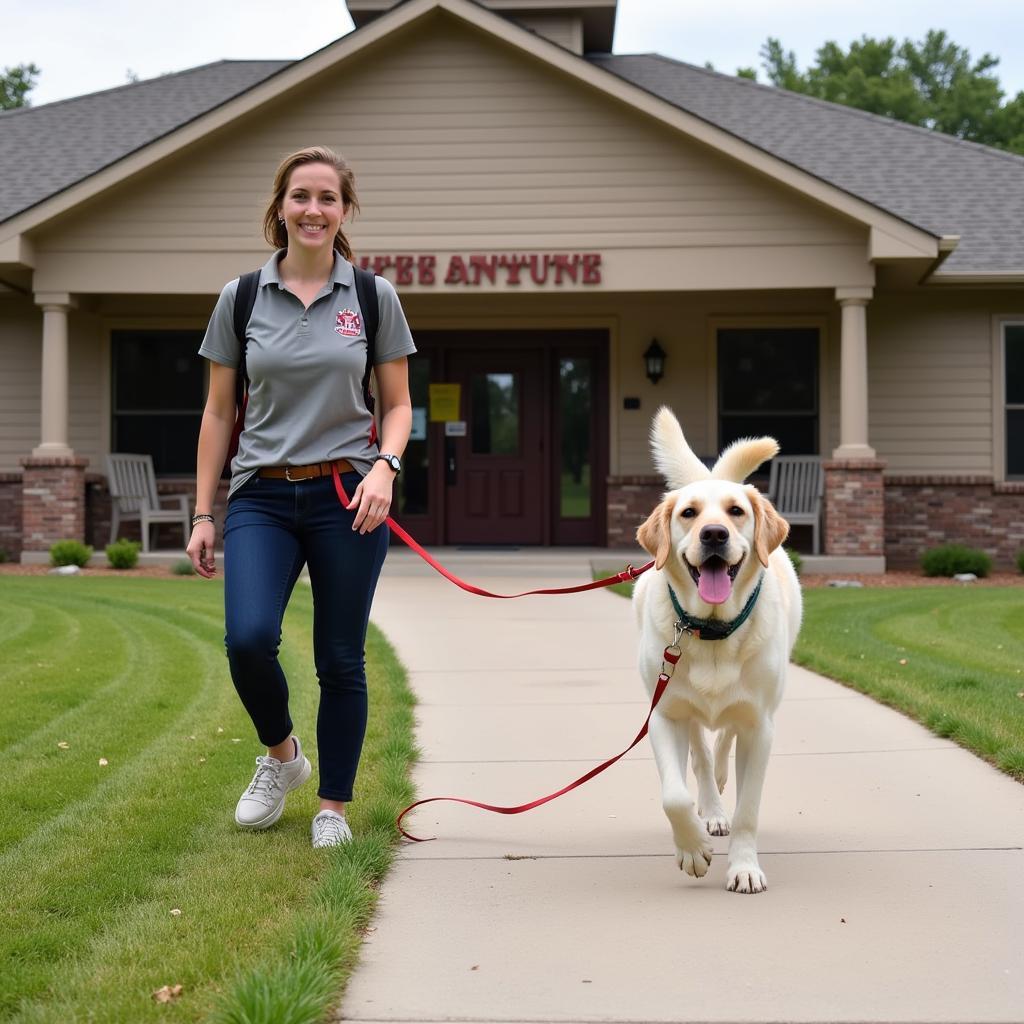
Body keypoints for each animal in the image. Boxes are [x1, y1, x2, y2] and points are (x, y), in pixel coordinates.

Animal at [630, 403, 798, 892]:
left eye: (736, 511)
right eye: (688, 513)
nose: (714, 535)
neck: (711, 630)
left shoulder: (761, 726)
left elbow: (749, 810)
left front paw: (744, 867)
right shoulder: (663, 715)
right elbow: (673, 795)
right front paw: (691, 849)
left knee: (723, 738)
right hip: (682, 705)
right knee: (701, 756)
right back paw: (711, 806)